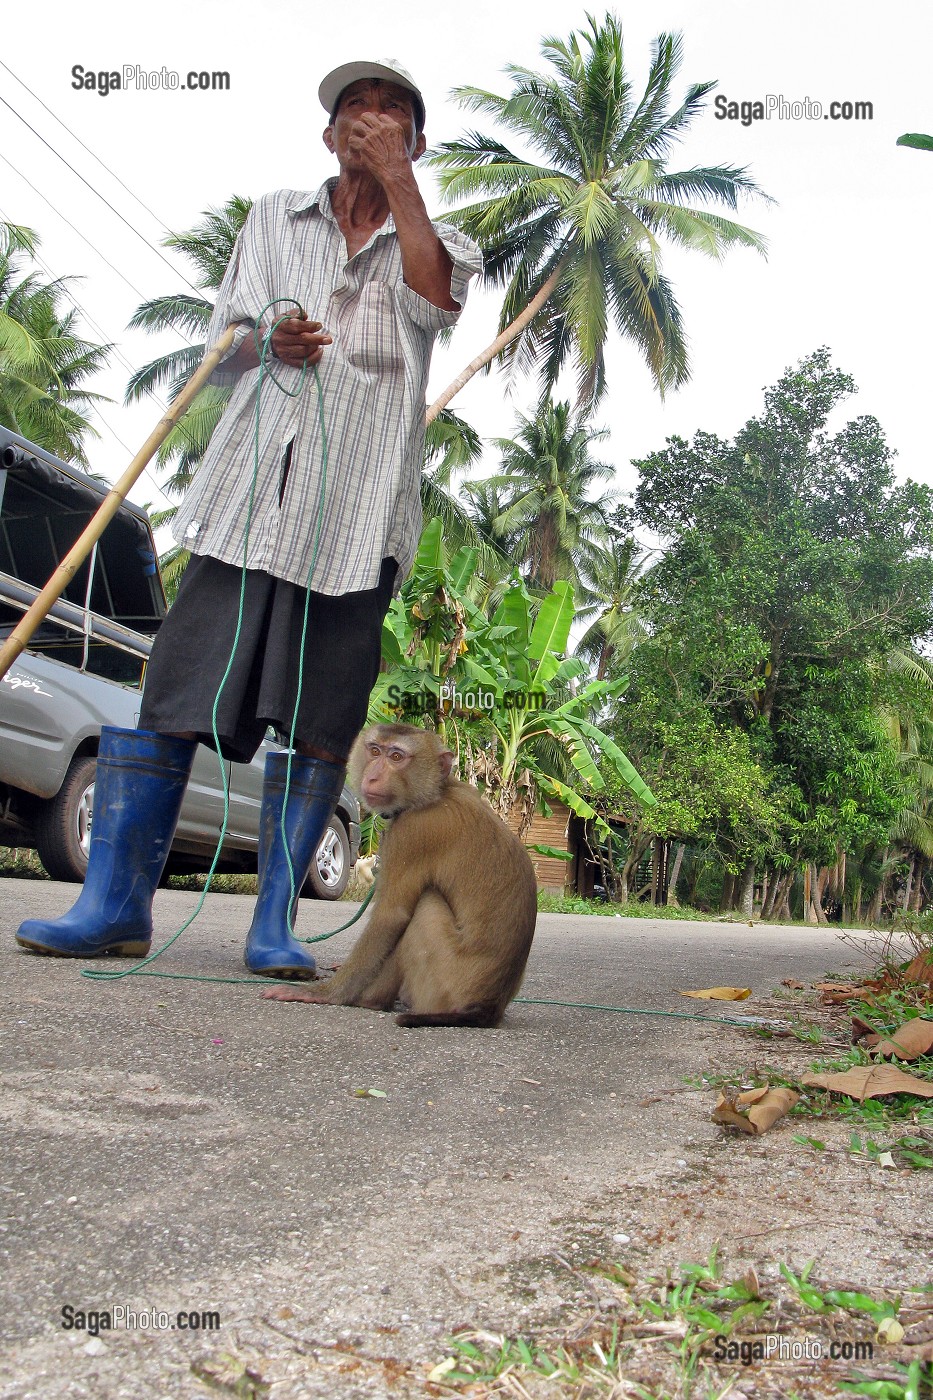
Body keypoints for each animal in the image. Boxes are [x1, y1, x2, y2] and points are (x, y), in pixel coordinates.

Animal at [262, 723, 538, 1027]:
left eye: (396, 757)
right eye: (374, 751)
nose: (372, 776)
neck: (436, 792)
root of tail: (488, 1006)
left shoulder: (412, 833)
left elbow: (391, 917)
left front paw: (327, 994)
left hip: (445, 983)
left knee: (423, 905)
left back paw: (371, 1000)